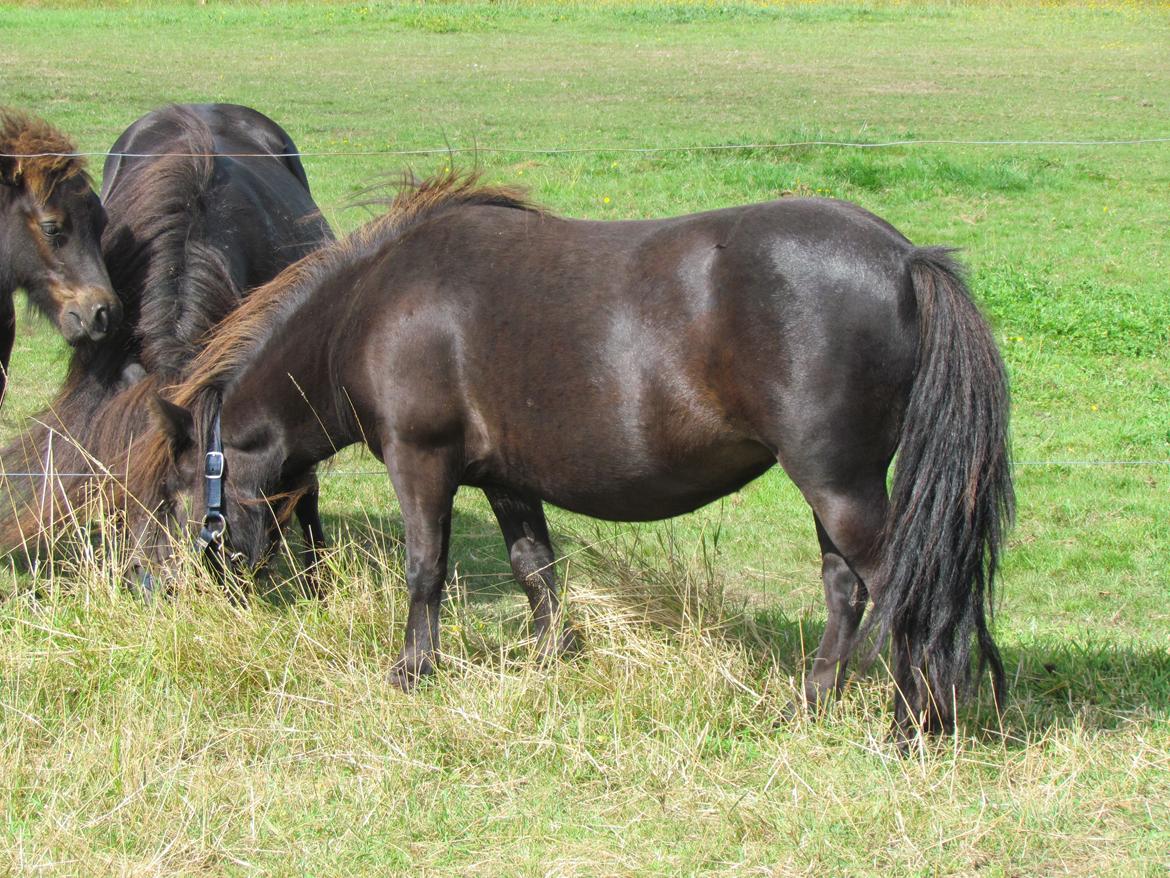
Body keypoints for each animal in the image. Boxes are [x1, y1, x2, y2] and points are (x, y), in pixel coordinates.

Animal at [139, 175, 1015, 739]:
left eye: (178, 492)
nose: (165, 588)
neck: (375, 307)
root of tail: (904, 259)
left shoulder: (421, 461)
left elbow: (425, 568)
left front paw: (412, 670)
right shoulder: (505, 479)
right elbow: (535, 568)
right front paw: (550, 660)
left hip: (837, 483)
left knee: (898, 585)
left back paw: (910, 726)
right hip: (834, 487)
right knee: (846, 590)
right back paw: (810, 705)